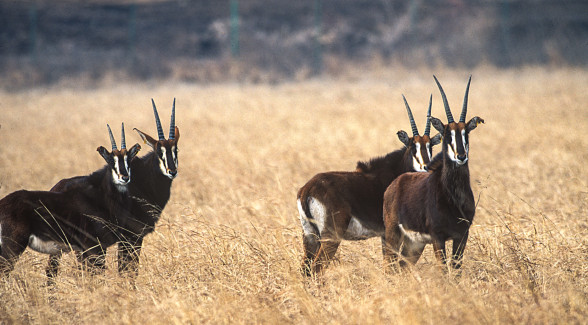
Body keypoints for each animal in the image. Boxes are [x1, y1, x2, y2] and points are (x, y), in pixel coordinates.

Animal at [50, 98, 179, 276]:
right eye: (159, 151)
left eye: (176, 150)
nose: (172, 171)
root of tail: (55, 190)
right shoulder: (131, 237)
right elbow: (128, 270)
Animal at [298, 97, 440, 276]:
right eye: (412, 145)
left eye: (430, 146)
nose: (425, 166)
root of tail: (307, 190)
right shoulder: (388, 233)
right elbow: (391, 264)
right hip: (330, 236)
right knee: (317, 267)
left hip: (309, 235)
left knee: (306, 269)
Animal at [384, 75, 484, 270]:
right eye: (447, 134)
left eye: (466, 134)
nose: (461, 156)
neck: (453, 196)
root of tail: (393, 184)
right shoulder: (438, 237)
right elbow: (443, 270)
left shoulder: (462, 236)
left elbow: (456, 269)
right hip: (393, 235)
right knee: (389, 265)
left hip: (414, 244)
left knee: (402, 266)